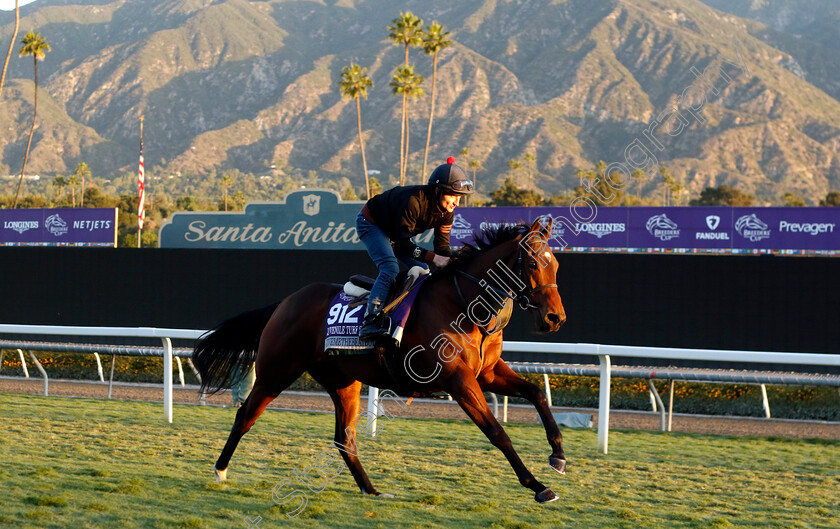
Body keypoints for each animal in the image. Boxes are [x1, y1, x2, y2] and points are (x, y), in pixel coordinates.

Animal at [194, 217, 568, 502]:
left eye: (556, 264)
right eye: (532, 263)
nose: (555, 318)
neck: (464, 305)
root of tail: (284, 303)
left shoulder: (487, 373)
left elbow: (536, 393)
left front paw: (558, 456)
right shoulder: (458, 380)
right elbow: (497, 432)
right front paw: (538, 486)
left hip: (344, 382)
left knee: (344, 438)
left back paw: (371, 490)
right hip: (277, 371)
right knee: (245, 415)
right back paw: (220, 470)